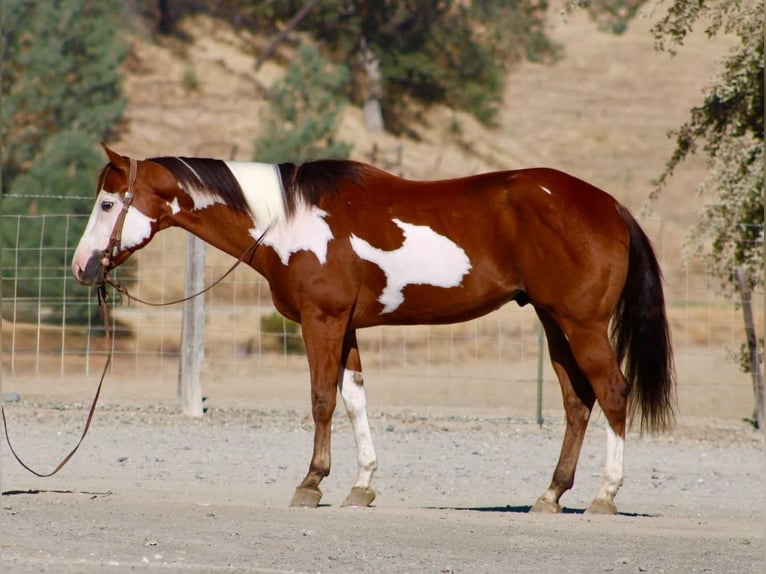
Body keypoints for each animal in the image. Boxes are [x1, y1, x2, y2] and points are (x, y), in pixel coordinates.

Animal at [72, 145, 675, 514]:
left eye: (107, 202)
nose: (83, 266)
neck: (288, 221)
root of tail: (609, 205)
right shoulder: (347, 328)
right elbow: (355, 399)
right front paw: (360, 485)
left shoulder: (323, 321)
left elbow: (321, 399)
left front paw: (311, 483)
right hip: (555, 323)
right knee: (578, 401)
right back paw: (550, 493)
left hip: (582, 324)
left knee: (612, 392)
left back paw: (605, 494)